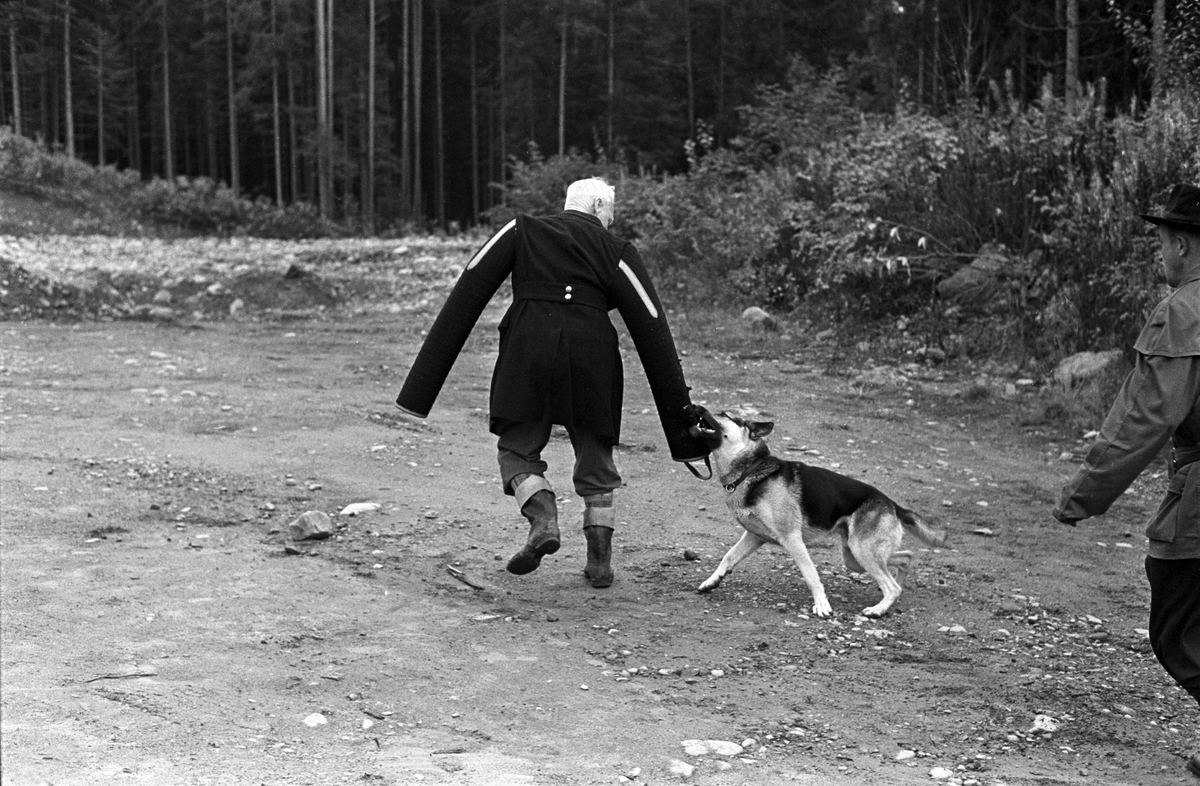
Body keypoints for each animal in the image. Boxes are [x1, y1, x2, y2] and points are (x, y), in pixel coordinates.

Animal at [686, 405, 945, 619]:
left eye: (724, 415)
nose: (694, 406)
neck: (751, 469)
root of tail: (892, 503)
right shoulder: (755, 536)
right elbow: (728, 557)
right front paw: (712, 581)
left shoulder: (792, 539)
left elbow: (811, 575)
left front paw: (822, 606)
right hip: (855, 556)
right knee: (906, 557)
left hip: (862, 551)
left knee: (893, 585)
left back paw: (878, 610)